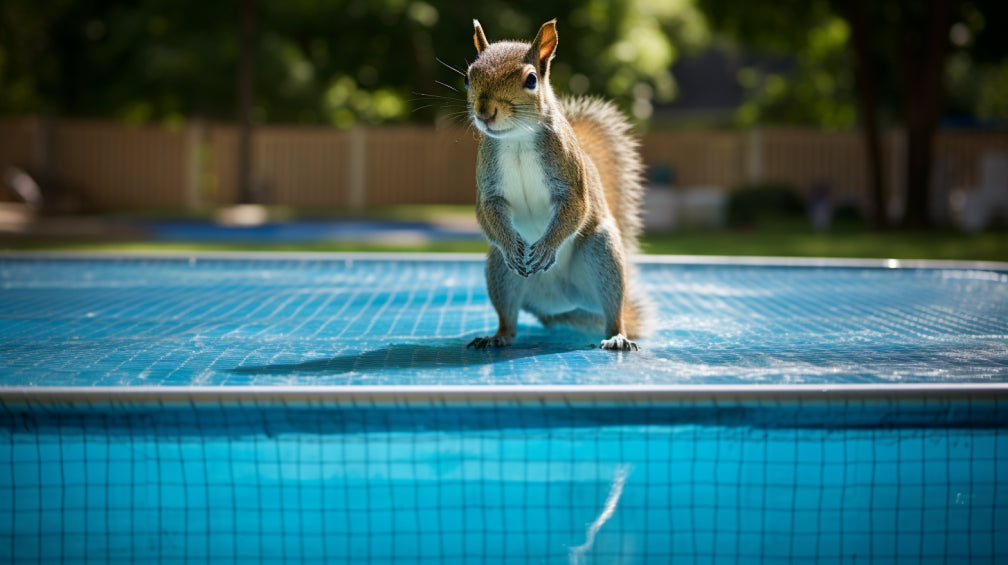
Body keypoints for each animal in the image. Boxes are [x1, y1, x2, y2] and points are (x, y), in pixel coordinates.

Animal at [464, 18, 647, 351]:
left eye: (531, 80)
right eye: (468, 78)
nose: (485, 112)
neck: (517, 138)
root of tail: (559, 300)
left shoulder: (569, 176)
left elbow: (576, 207)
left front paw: (547, 248)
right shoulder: (489, 184)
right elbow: (488, 211)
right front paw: (512, 246)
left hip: (602, 256)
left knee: (613, 310)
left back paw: (617, 336)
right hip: (499, 273)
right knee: (508, 320)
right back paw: (496, 337)